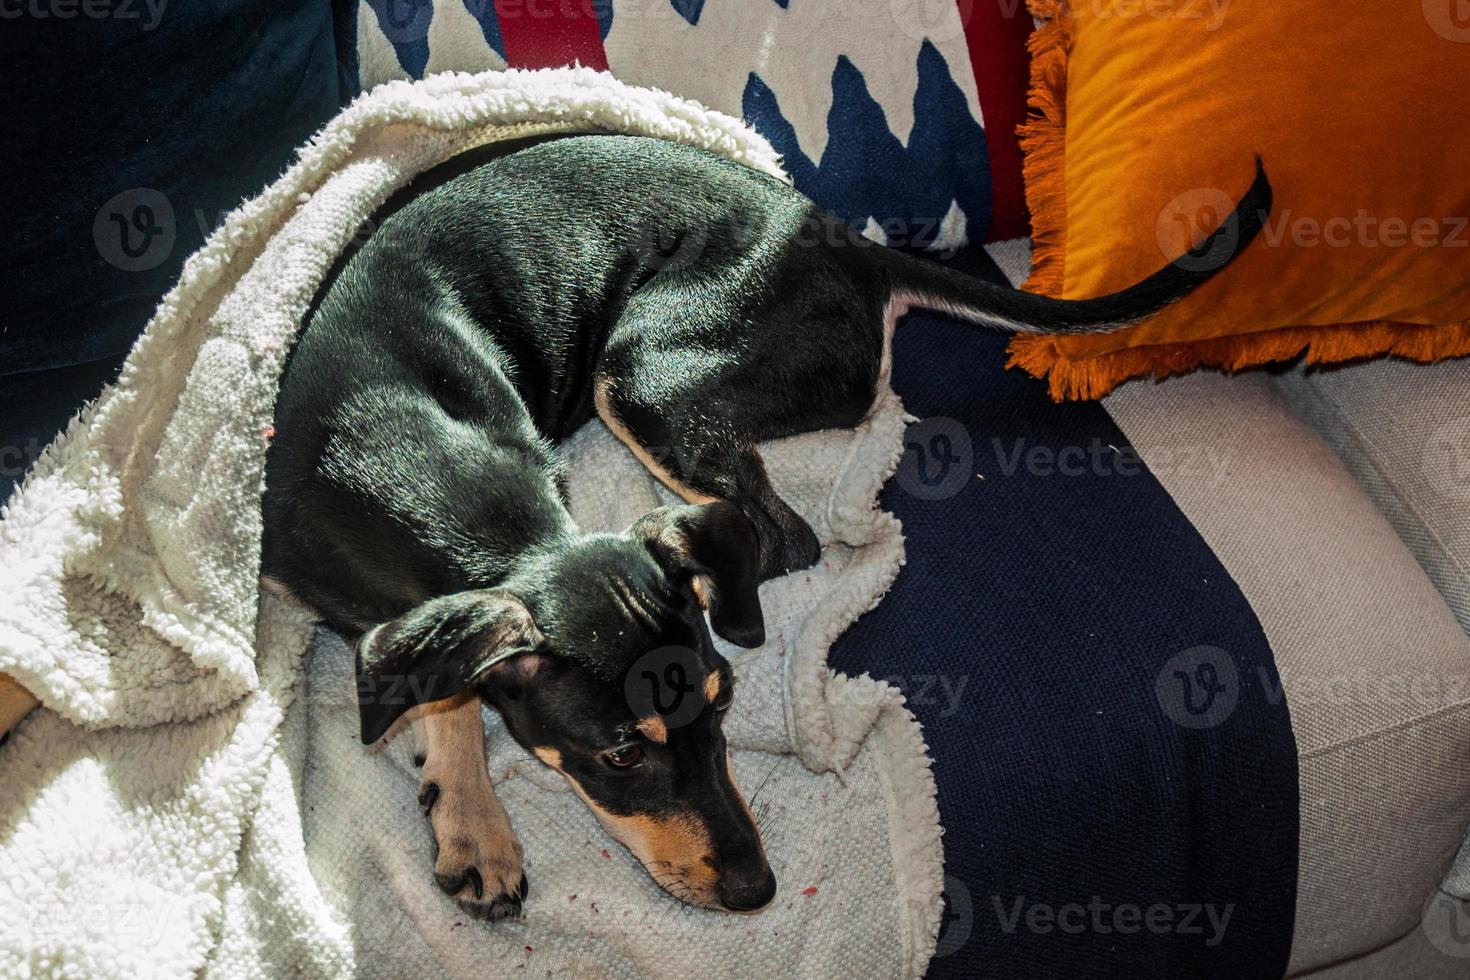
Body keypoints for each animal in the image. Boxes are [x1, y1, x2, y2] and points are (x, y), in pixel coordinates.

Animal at [258, 134, 1270, 922]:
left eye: (724, 702)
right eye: (620, 752)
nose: (758, 892)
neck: (396, 437)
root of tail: (857, 247)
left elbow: (453, 688)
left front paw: (473, 827)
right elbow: (448, 686)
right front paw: (472, 819)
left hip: (643, 376)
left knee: (790, 540)